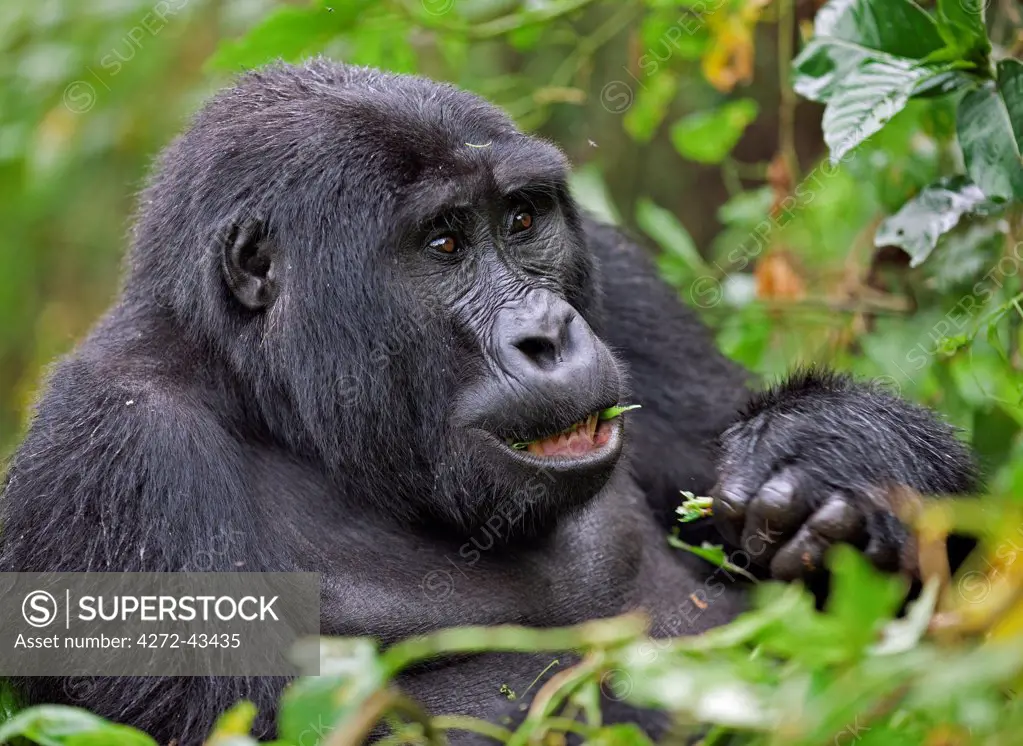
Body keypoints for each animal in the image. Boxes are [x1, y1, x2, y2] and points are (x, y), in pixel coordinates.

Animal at [0, 61, 973, 740]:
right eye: (442, 243)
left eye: (521, 221)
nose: (546, 332)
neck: (277, 405)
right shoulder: (115, 463)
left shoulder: (615, 280)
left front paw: (838, 458)